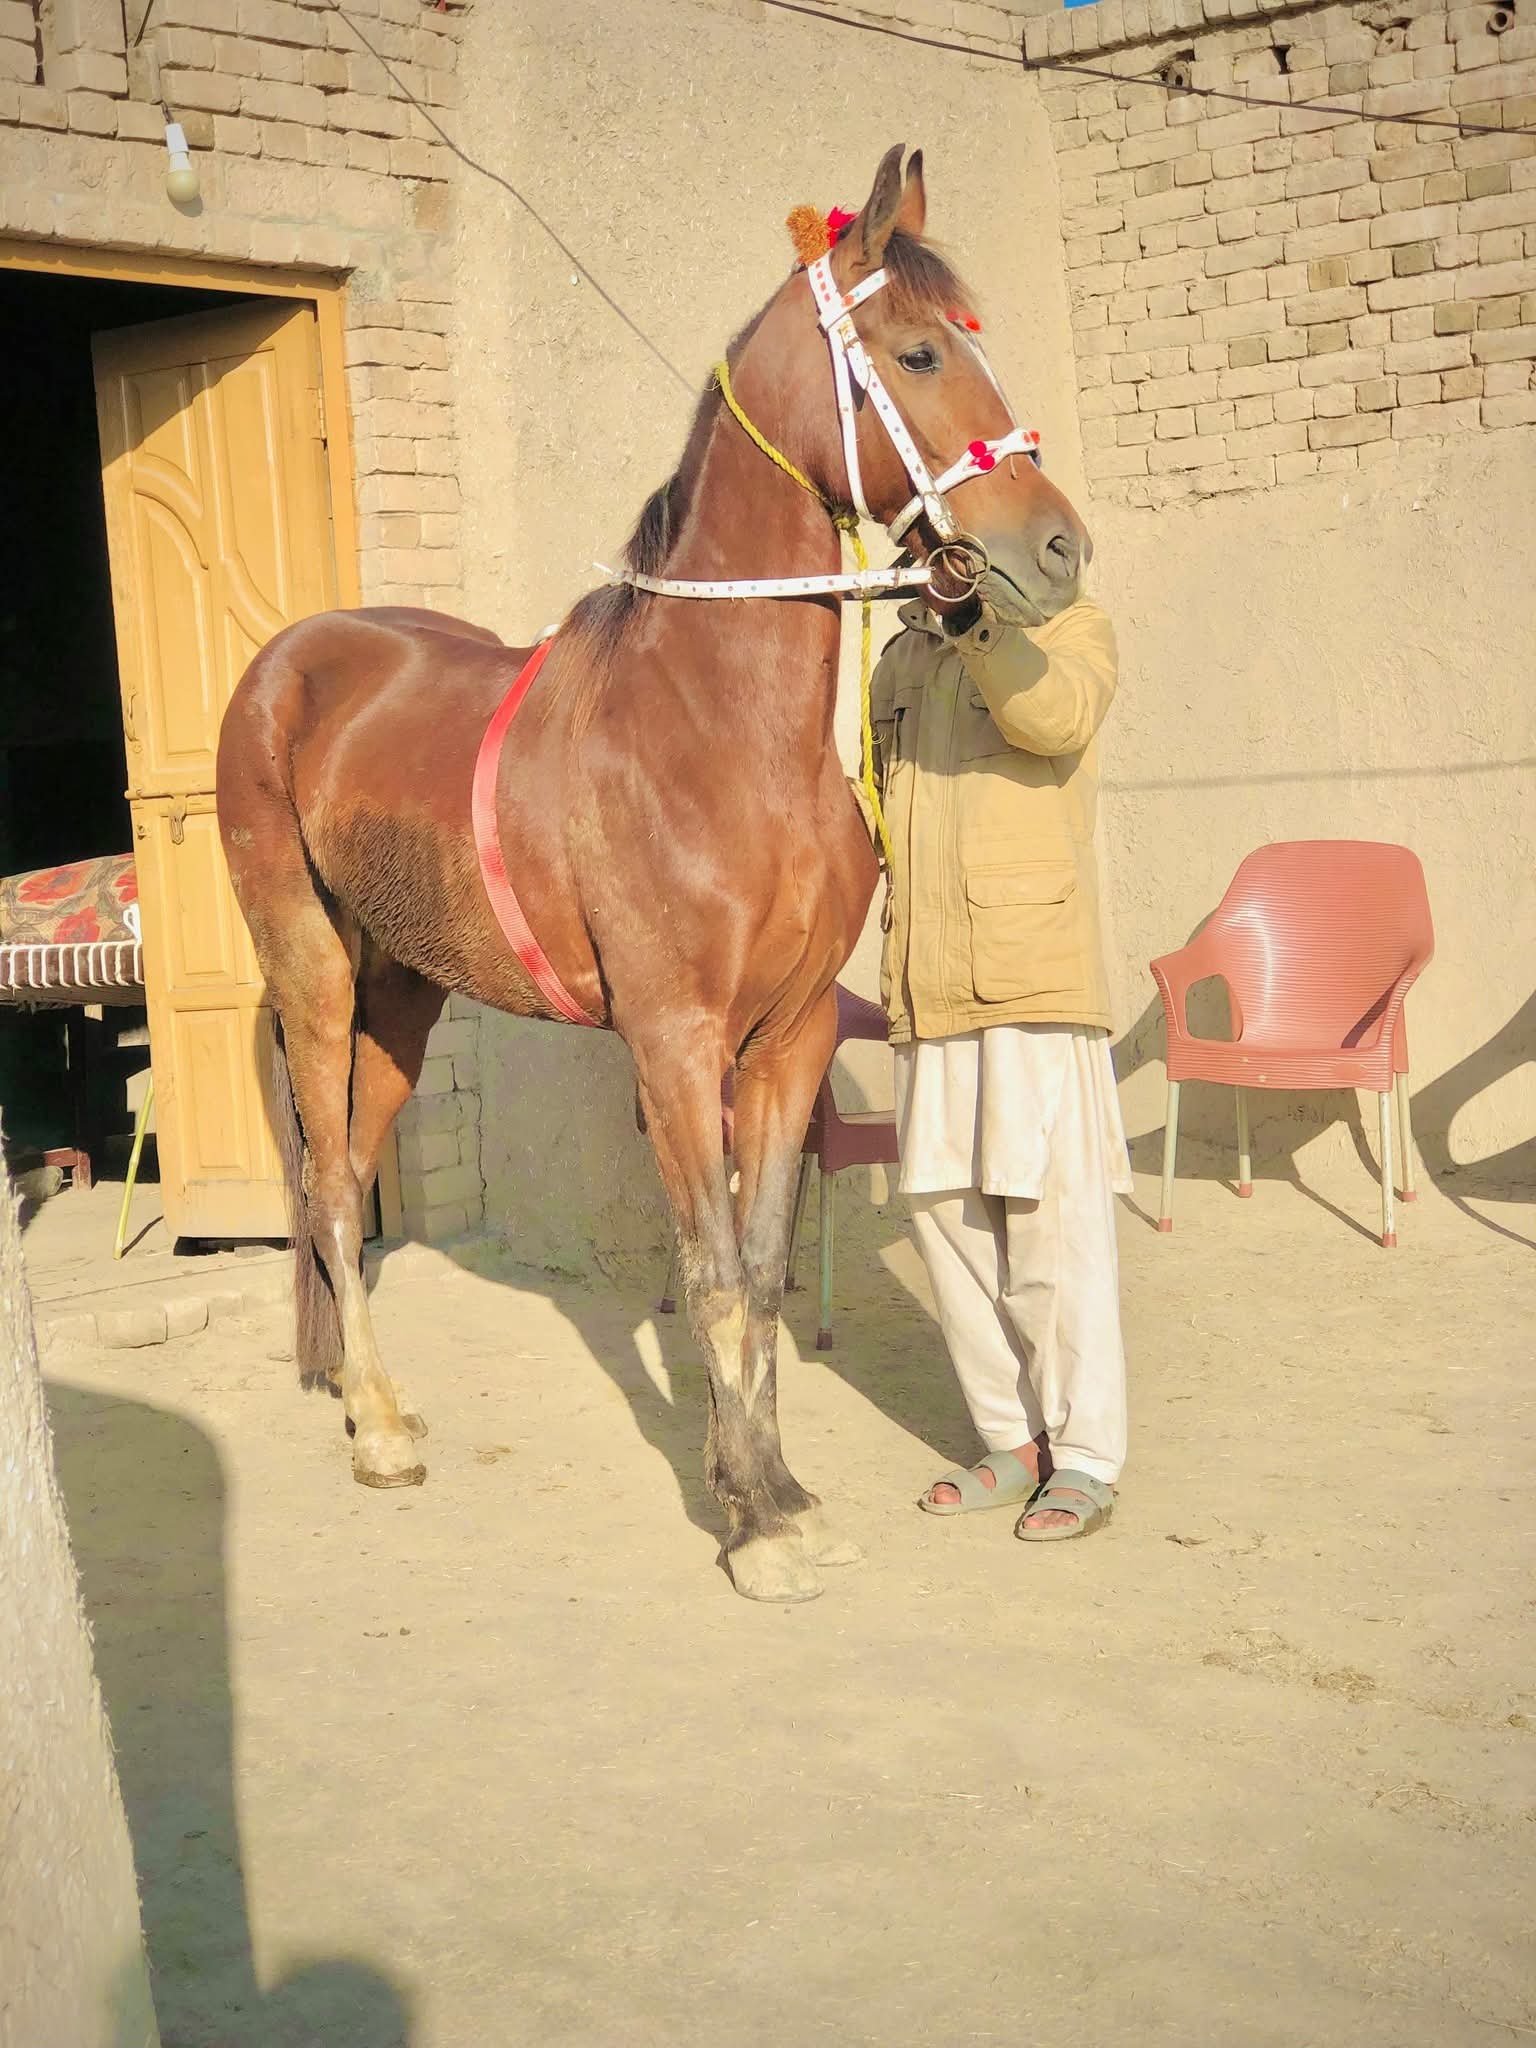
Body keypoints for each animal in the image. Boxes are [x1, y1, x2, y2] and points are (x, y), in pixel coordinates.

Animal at [215, 145, 1090, 1603]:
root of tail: (287, 664)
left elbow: (762, 1269)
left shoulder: (786, 1042)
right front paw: (755, 1526)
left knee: (357, 1169)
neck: (719, 733)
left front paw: (775, 1490)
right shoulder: (675, 1045)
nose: (1060, 549)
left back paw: (358, 1396)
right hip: (314, 970)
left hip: (403, 997)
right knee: (335, 1190)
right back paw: (381, 1429)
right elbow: (715, 1272)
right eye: (916, 352)